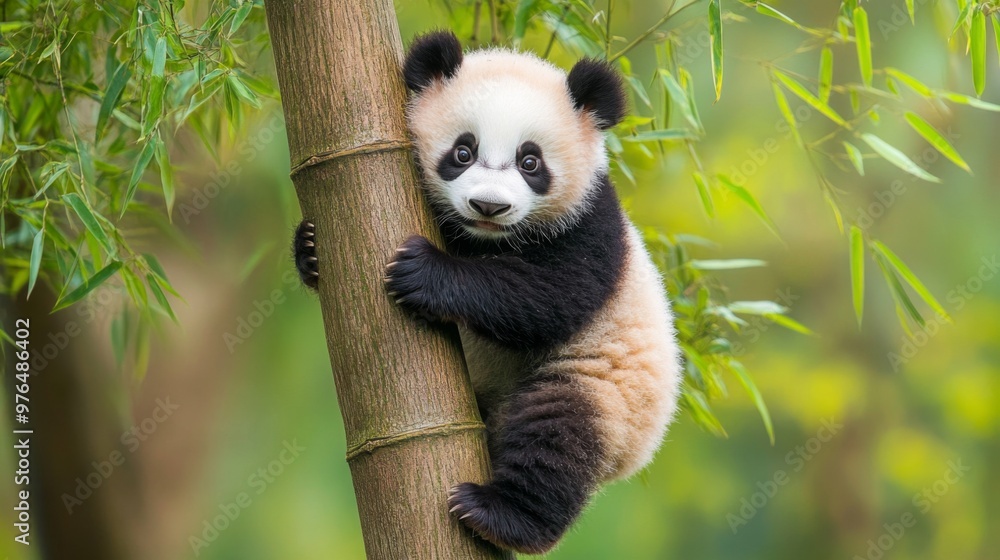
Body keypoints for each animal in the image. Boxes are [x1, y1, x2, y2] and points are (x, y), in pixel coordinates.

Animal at [293, 31, 682, 554]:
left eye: (530, 161)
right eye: (463, 152)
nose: (489, 206)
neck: (484, 238)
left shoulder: (590, 223)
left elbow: (549, 295)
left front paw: (424, 273)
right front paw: (310, 248)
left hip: (609, 388)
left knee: (558, 435)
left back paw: (499, 514)